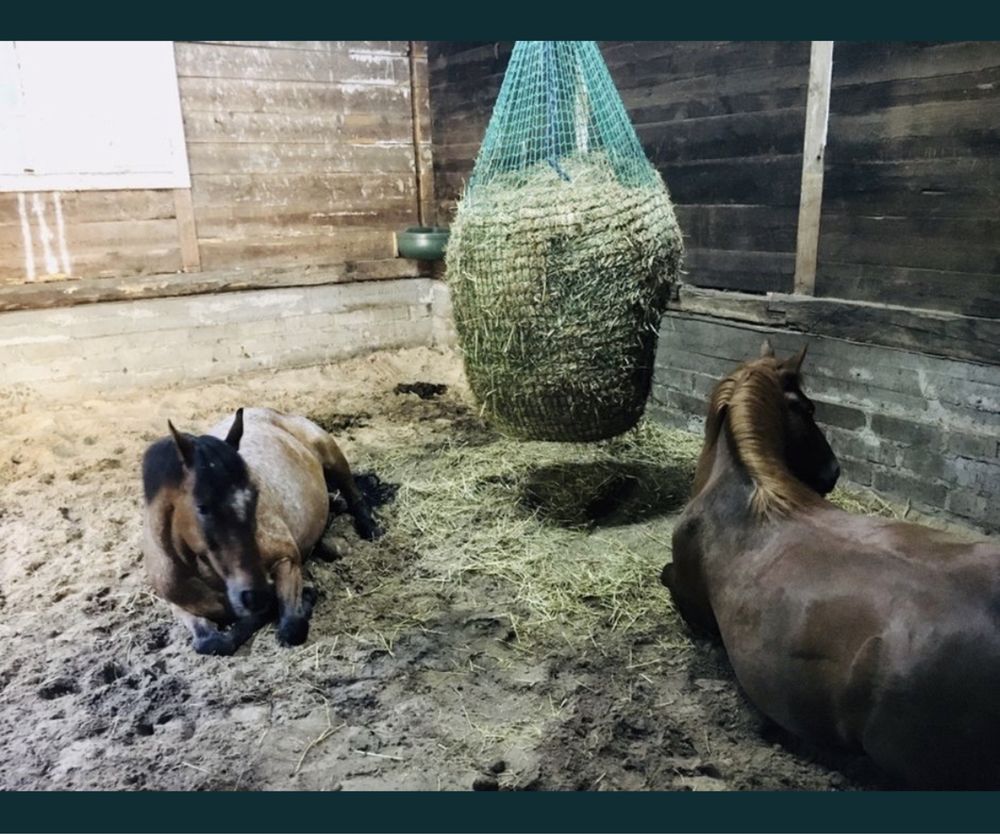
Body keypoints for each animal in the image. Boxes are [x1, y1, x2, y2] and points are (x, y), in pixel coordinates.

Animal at [137, 406, 378, 652]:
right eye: (202, 507)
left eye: (255, 495)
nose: (254, 596)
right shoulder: (180, 608)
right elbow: (210, 642)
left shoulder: (286, 560)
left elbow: (291, 628)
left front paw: (305, 598)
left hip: (330, 454)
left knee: (353, 493)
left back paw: (370, 529)